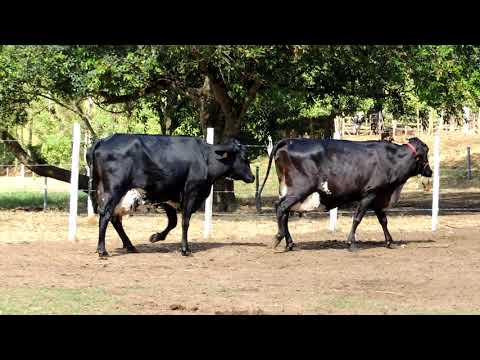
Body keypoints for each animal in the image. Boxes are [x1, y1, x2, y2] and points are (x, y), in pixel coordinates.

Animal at [88, 134, 256, 256]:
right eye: (244, 158)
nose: (252, 177)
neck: (205, 158)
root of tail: (103, 140)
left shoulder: (168, 197)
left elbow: (173, 222)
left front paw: (156, 237)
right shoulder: (191, 193)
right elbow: (185, 221)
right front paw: (185, 249)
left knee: (115, 219)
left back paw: (129, 246)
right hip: (114, 190)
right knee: (106, 215)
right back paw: (103, 250)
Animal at [258, 136, 436, 252]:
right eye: (426, 152)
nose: (430, 171)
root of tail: (289, 141)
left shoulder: (378, 196)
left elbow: (383, 220)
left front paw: (390, 242)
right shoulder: (370, 193)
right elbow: (357, 218)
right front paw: (351, 243)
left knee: (284, 211)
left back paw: (289, 243)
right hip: (300, 189)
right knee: (281, 208)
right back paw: (279, 238)